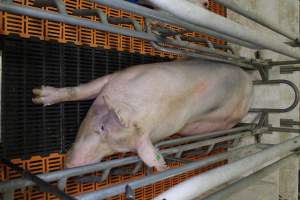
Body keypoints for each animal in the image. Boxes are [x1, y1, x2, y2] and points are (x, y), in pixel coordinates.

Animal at [32, 58, 253, 171]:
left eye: (119, 151)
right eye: (101, 127)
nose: (72, 165)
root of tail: (251, 82)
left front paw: (161, 165)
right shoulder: (117, 78)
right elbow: (80, 91)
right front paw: (37, 96)